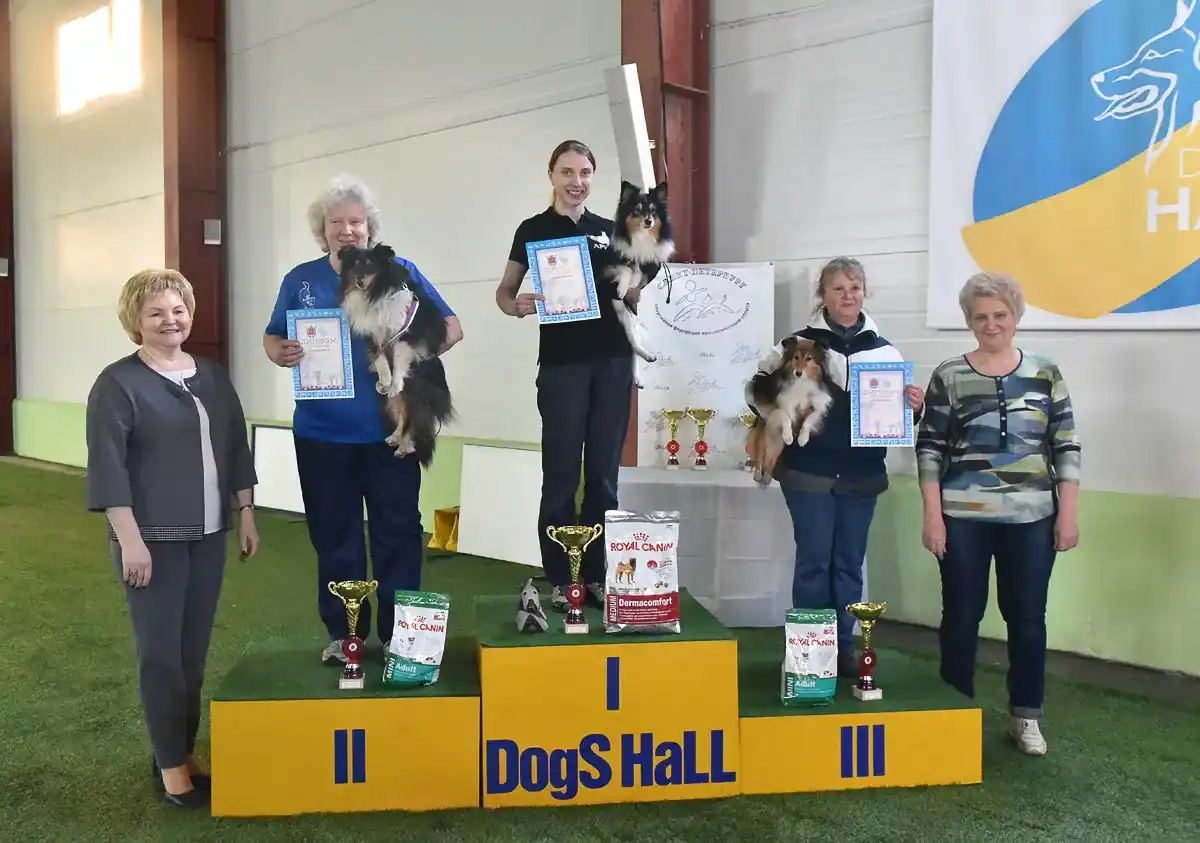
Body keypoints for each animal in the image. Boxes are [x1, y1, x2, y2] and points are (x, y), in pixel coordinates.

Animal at [338, 243, 455, 465]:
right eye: (354, 264)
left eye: (370, 264)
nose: (359, 282)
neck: (375, 292)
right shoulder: (373, 334)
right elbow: (381, 359)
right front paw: (386, 380)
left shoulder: (405, 333)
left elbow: (400, 358)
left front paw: (395, 381)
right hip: (394, 400)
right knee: (402, 414)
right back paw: (394, 437)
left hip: (417, 390)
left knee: (415, 420)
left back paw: (405, 446)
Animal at [606, 180, 675, 389]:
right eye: (636, 210)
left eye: (653, 211)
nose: (648, 221)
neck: (641, 238)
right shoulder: (616, 262)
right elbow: (628, 269)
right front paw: (622, 288)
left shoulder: (651, 267)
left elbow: (638, 274)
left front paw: (631, 286)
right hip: (624, 315)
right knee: (633, 344)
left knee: (635, 349)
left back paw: (643, 366)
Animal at [745, 336, 834, 484]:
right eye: (795, 357)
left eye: (809, 358)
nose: (798, 373)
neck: (802, 382)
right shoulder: (778, 405)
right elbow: (786, 417)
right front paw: (788, 435)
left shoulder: (817, 407)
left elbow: (808, 421)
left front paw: (802, 439)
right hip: (764, 435)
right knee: (760, 455)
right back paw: (758, 473)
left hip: (778, 446)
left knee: (772, 459)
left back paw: (767, 476)